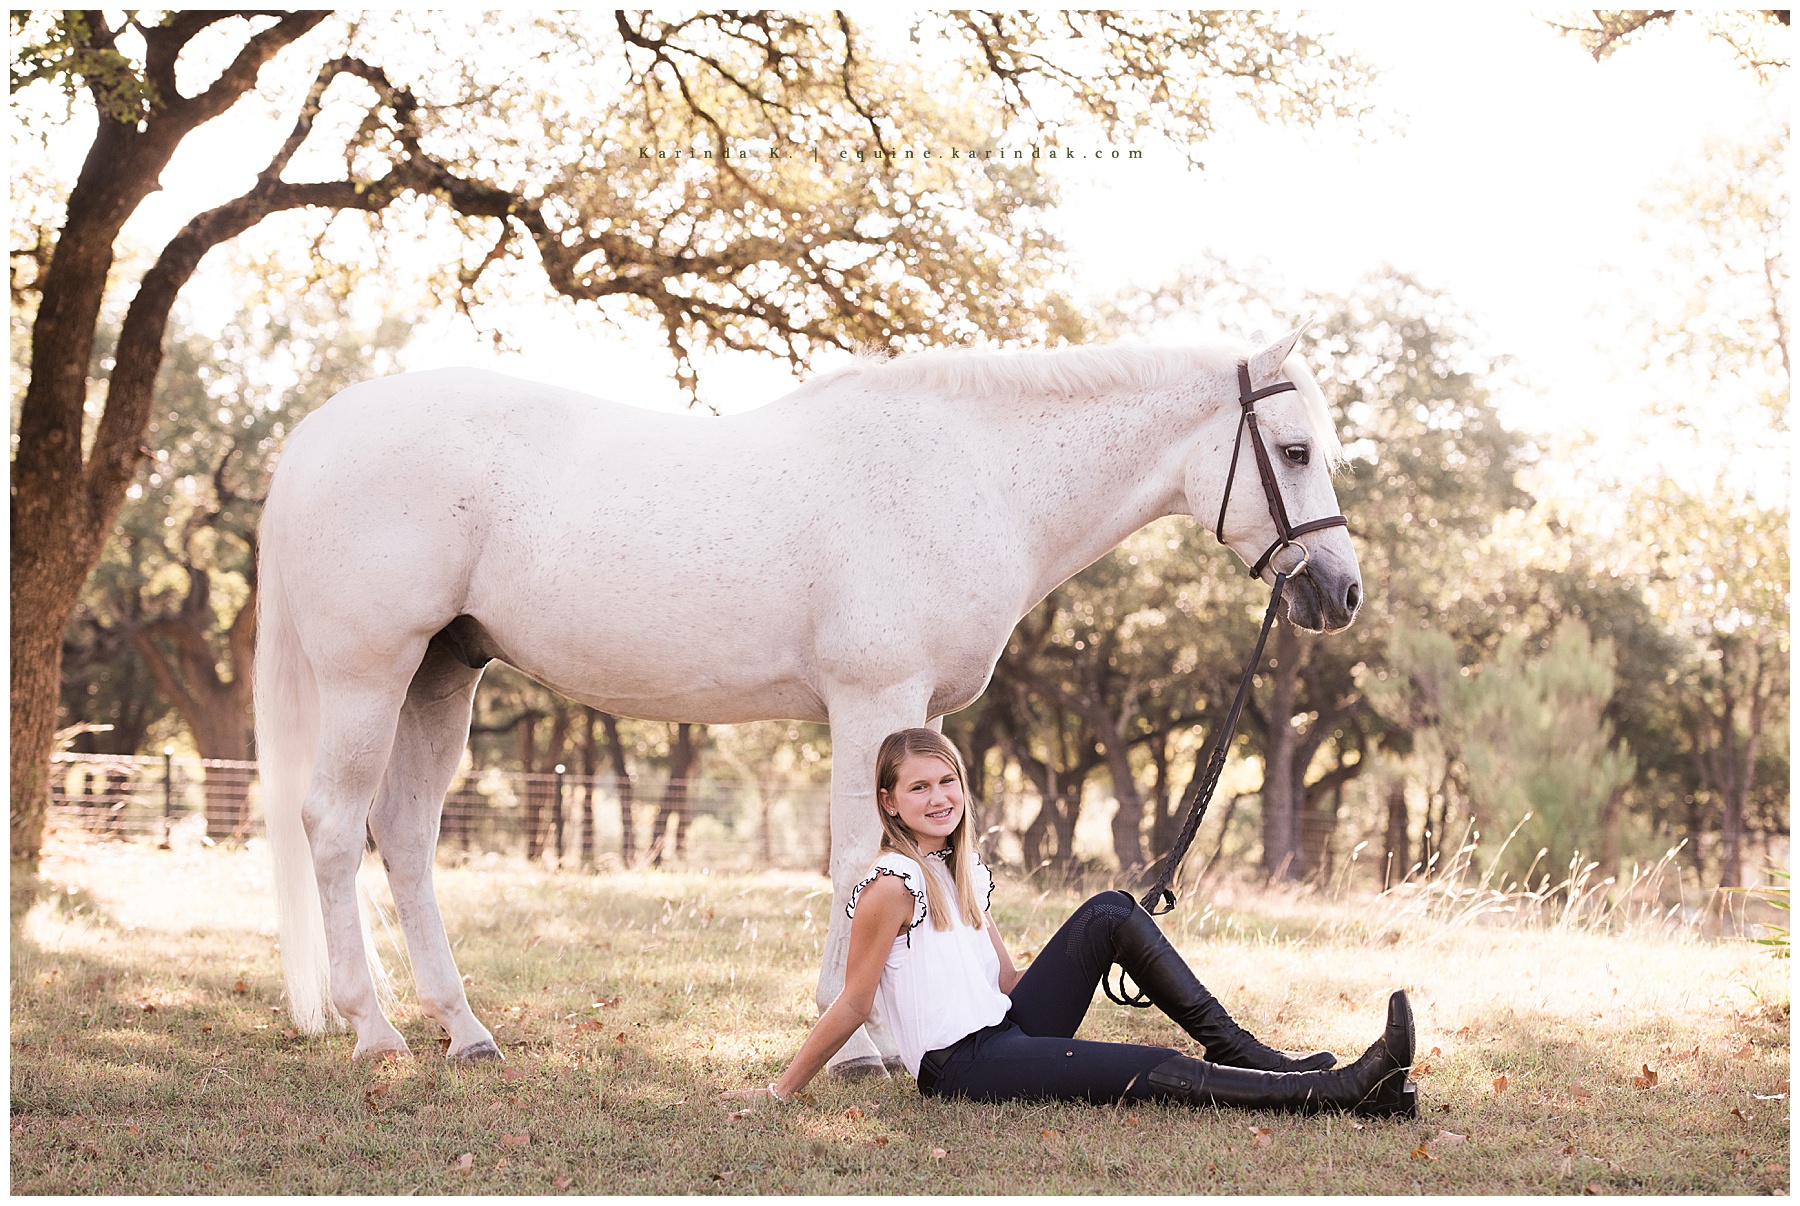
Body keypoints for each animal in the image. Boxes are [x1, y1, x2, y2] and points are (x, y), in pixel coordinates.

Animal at [254, 327, 1362, 1069]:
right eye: (1296, 452)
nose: (1340, 593)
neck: (971, 474)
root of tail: (314, 435)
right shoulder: (872, 699)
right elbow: (857, 859)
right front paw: (858, 1044)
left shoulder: (915, 715)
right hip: (371, 672)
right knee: (333, 828)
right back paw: (374, 1030)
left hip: (443, 672)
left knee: (403, 836)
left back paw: (465, 1029)